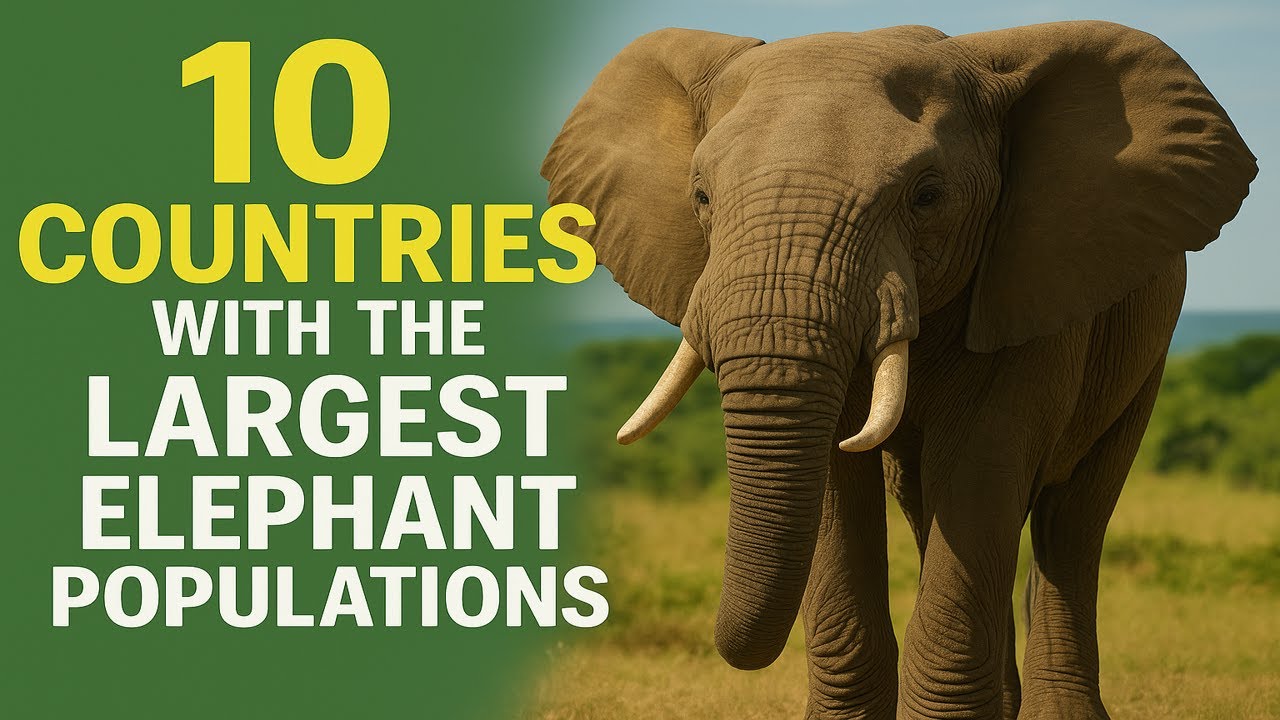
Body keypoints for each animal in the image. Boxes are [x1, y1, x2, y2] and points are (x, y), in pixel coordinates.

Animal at [541, 21, 1255, 720]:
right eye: (701, 196)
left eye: (927, 195)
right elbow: (838, 485)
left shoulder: (1033, 279)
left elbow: (979, 467)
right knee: (927, 503)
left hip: (1144, 356)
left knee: (1071, 517)